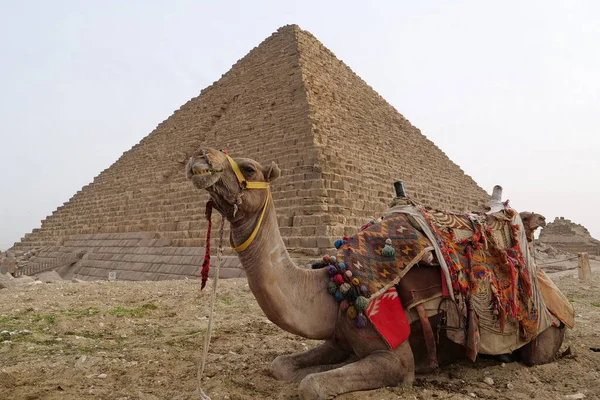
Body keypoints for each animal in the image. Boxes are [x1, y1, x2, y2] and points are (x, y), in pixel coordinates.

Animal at [186, 148, 568, 400]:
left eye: (249, 169)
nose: (200, 156)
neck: (332, 288)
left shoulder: (395, 357)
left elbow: (312, 385)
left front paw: (315, 375)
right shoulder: (339, 336)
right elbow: (280, 366)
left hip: (543, 334)